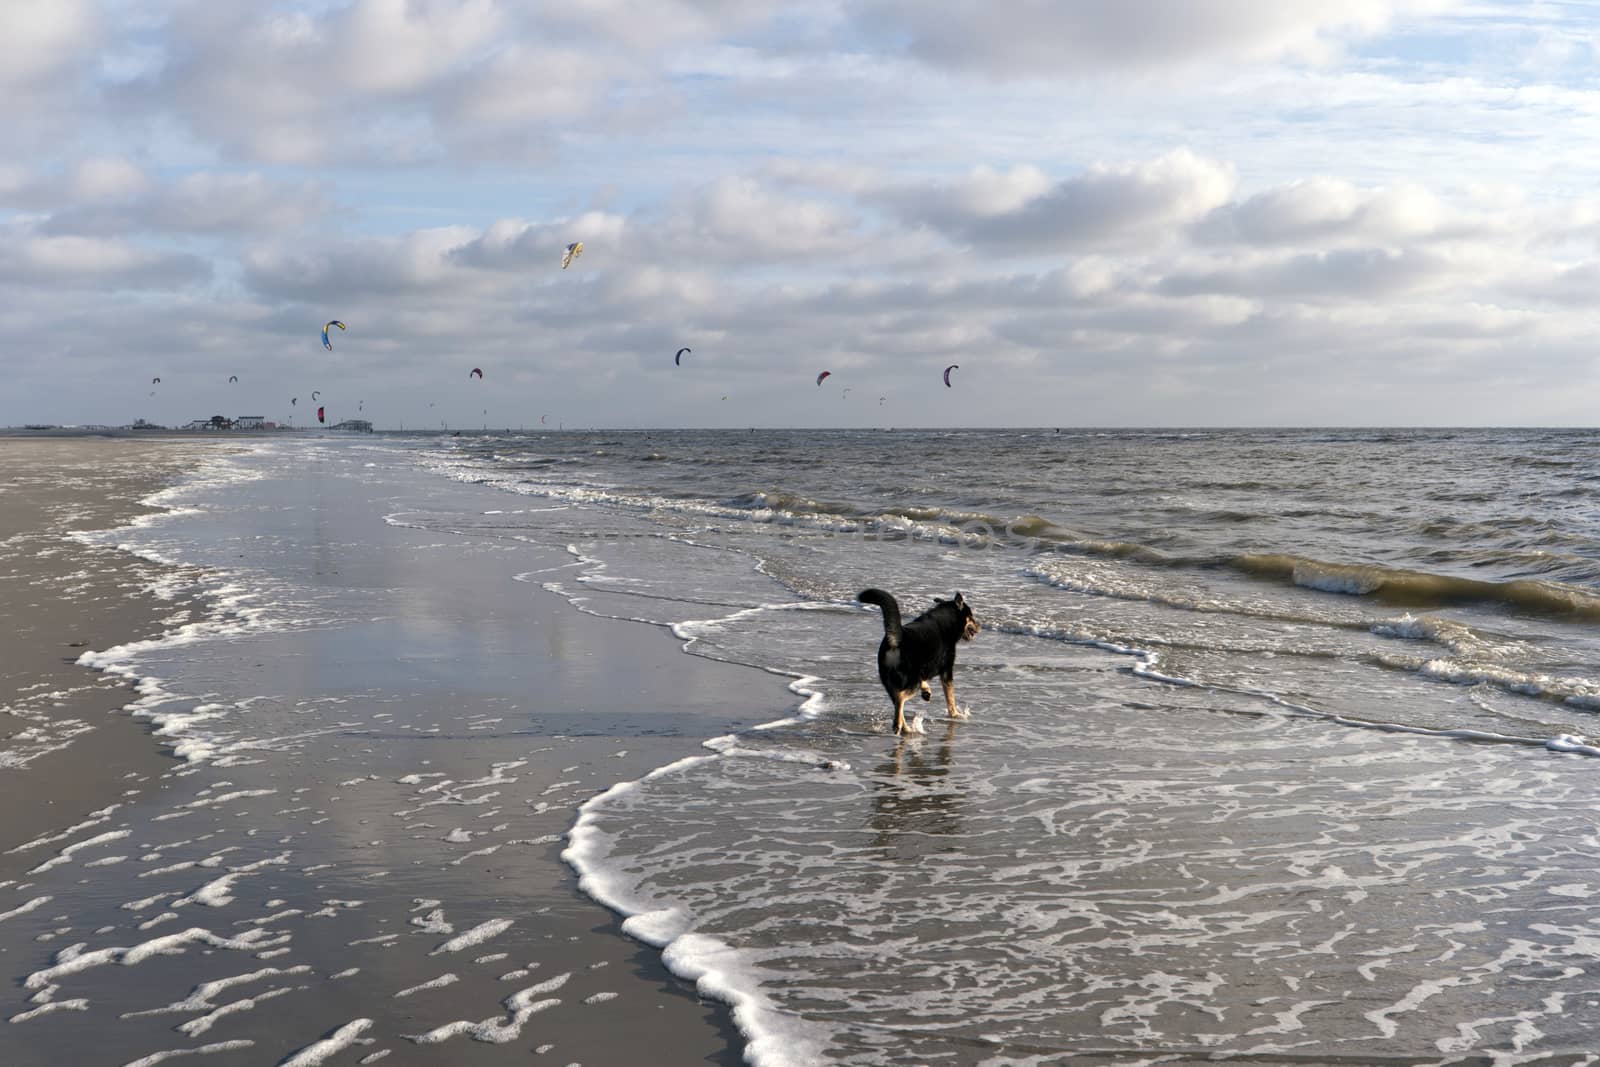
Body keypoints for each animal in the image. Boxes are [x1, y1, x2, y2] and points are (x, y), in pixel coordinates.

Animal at [864, 591, 972, 735]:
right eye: (971, 616)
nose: (979, 626)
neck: (947, 619)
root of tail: (897, 639)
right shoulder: (947, 670)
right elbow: (950, 697)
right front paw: (955, 714)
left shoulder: (926, 669)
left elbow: (925, 681)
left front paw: (926, 690)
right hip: (910, 680)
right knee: (900, 698)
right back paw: (898, 725)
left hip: (889, 681)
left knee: (897, 704)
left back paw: (904, 728)